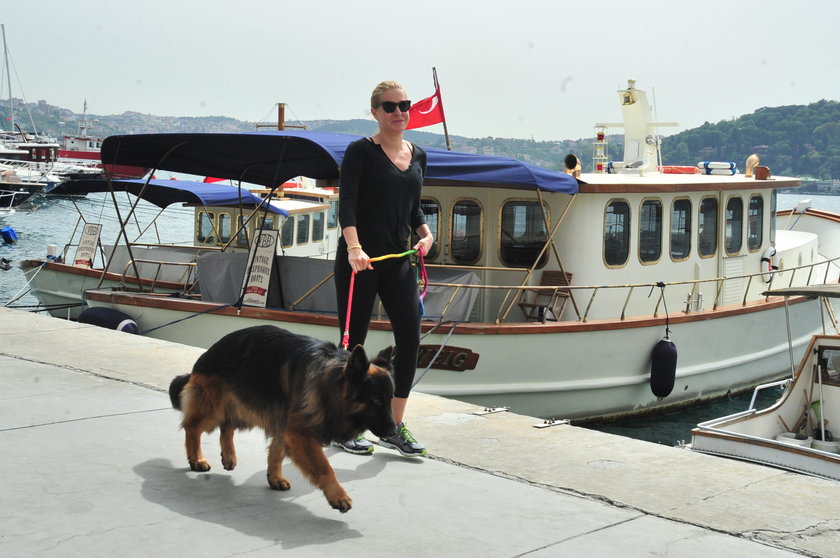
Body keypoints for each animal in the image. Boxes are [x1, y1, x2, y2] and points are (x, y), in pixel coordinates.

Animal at [168, 325, 395, 513]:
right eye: (376, 400)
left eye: (391, 398)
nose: (393, 431)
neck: (330, 379)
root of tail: (209, 352)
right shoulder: (299, 433)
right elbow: (324, 467)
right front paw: (337, 495)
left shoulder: (285, 425)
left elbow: (276, 453)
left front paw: (275, 477)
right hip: (214, 407)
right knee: (192, 428)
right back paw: (196, 459)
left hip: (243, 404)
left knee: (227, 426)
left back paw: (229, 456)